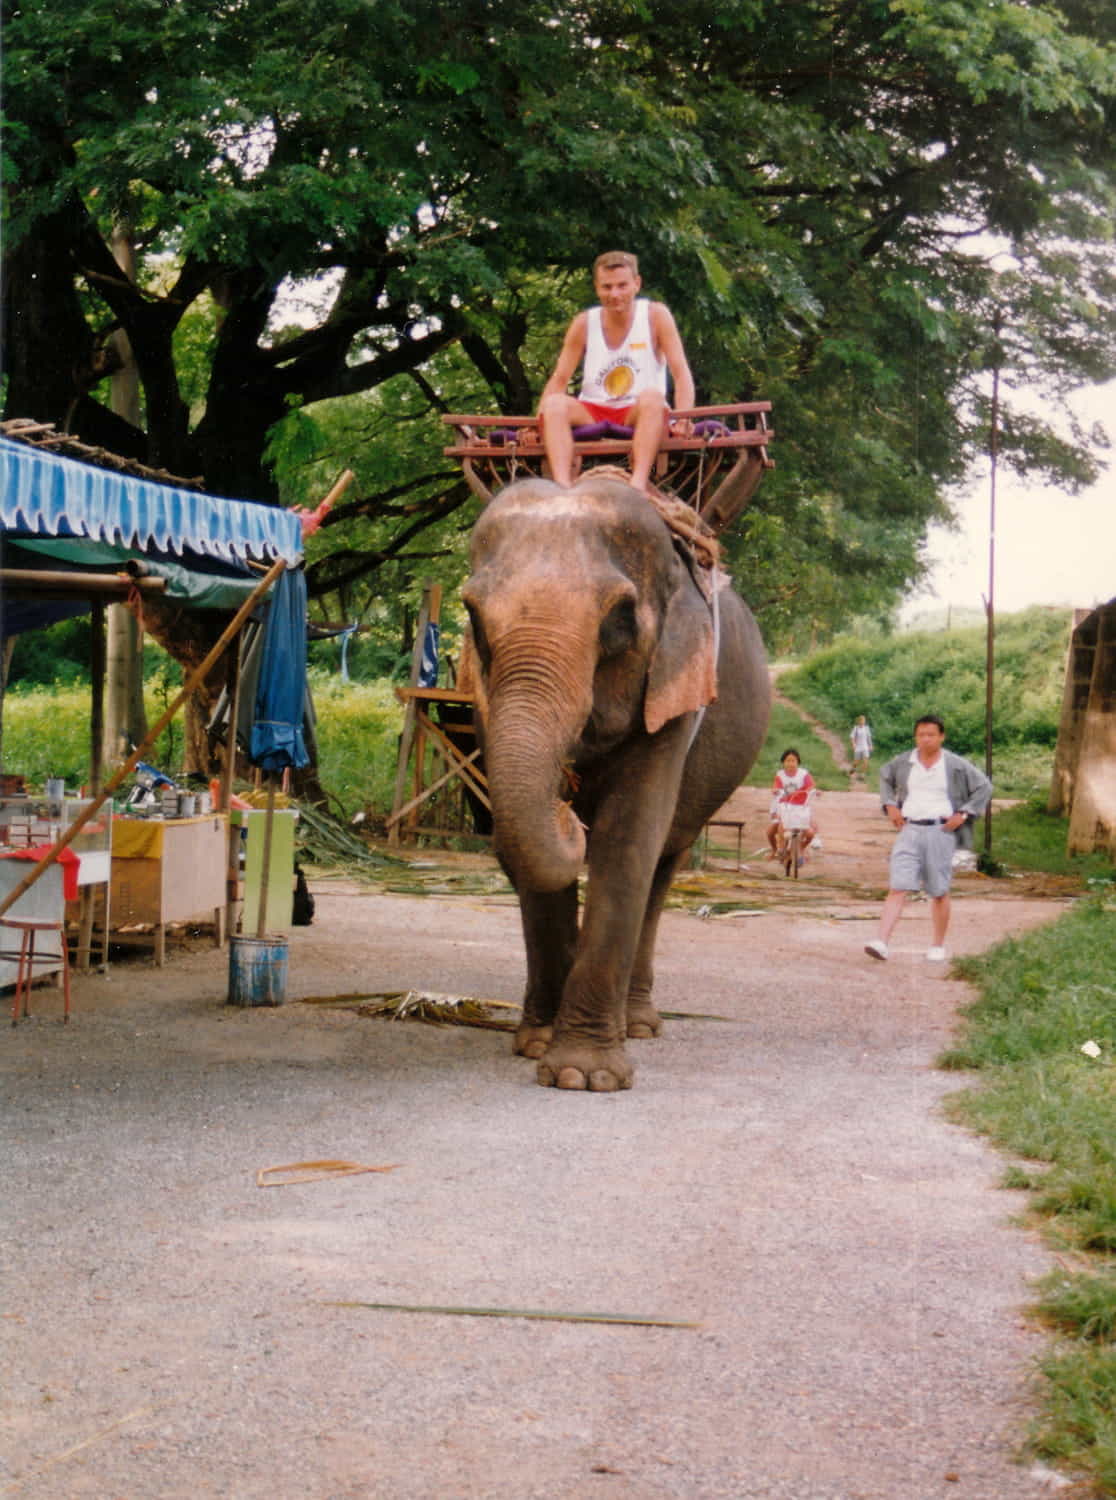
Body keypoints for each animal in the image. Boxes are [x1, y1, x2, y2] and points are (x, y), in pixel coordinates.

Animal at [459, 474, 774, 1098]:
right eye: (473, 617)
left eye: (620, 620)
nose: (567, 808)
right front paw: (538, 1044)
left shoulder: (676, 695)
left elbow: (627, 842)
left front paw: (585, 1076)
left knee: (661, 865)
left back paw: (639, 1025)